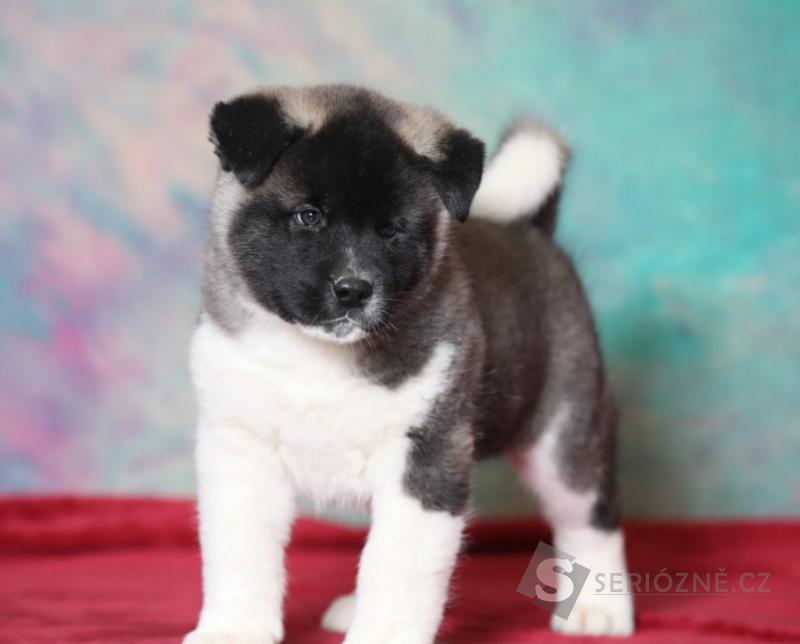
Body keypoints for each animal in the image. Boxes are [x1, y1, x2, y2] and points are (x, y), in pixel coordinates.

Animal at [185, 84, 633, 644]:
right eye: (308, 216)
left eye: (392, 231)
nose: (354, 289)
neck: (315, 353)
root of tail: (536, 232)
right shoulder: (240, 451)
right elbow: (240, 555)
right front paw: (233, 628)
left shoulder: (426, 461)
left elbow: (397, 567)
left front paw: (382, 632)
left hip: (562, 435)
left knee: (590, 517)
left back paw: (599, 609)